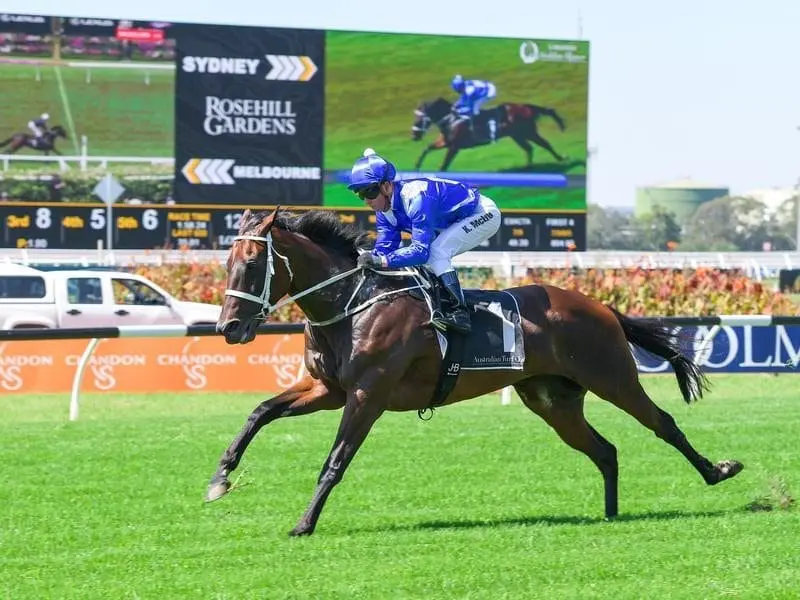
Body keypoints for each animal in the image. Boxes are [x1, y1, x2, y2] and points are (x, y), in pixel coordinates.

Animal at [208, 209, 744, 536]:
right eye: (227, 262)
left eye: (252, 263)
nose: (229, 328)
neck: (352, 303)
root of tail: (599, 305)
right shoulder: (328, 388)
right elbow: (260, 412)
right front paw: (220, 479)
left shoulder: (367, 394)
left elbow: (335, 460)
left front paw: (304, 523)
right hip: (552, 400)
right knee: (604, 450)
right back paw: (610, 514)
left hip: (613, 378)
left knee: (663, 424)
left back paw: (718, 470)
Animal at [412, 96, 568, 171]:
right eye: (416, 117)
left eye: (420, 119)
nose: (414, 136)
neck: (452, 120)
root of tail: (526, 107)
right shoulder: (445, 142)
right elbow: (426, 149)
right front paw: (416, 167)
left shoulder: (454, 146)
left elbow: (444, 165)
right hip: (517, 136)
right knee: (529, 148)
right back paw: (528, 168)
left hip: (528, 132)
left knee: (544, 144)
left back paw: (561, 158)